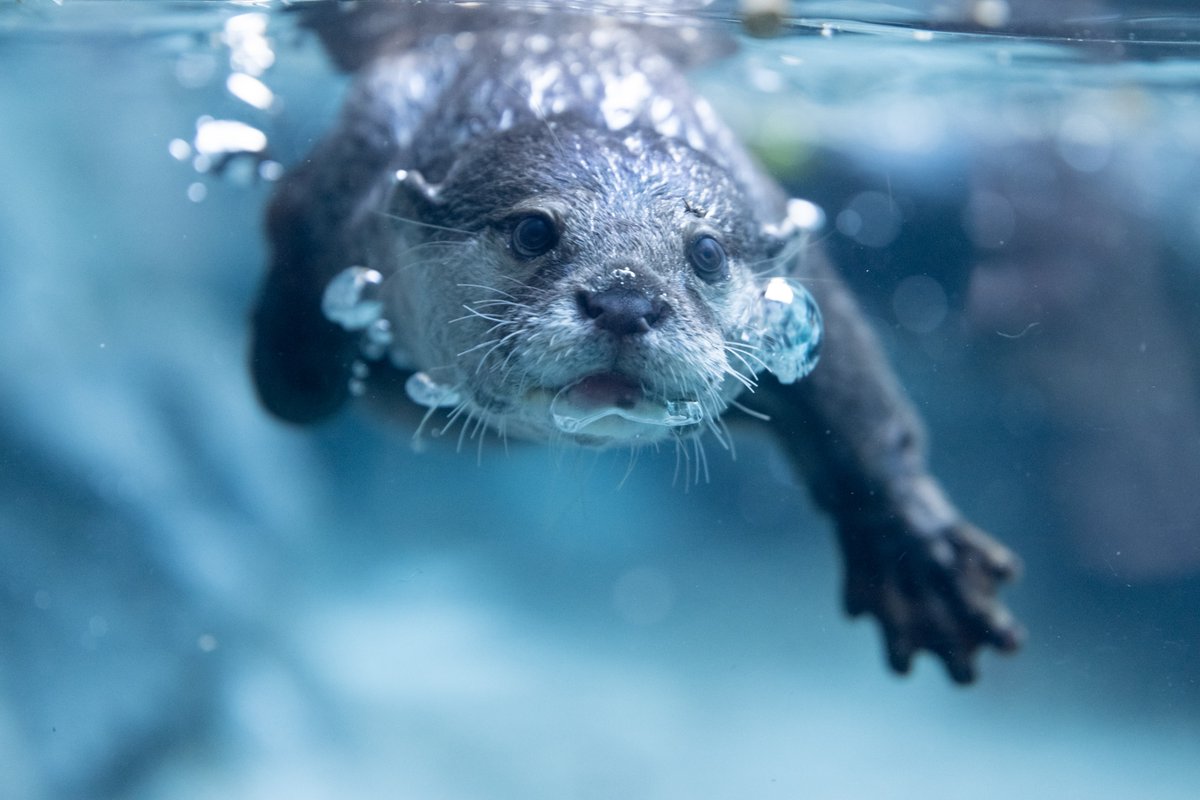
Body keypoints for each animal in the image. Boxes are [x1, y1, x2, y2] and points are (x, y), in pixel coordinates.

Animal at [251, 1, 1022, 683]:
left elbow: (858, 405)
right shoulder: (350, 174)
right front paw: (313, 367)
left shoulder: (793, 273)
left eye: (706, 250)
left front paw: (921, 565)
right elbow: (291, 374)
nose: (625, 301)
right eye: (534, 230)